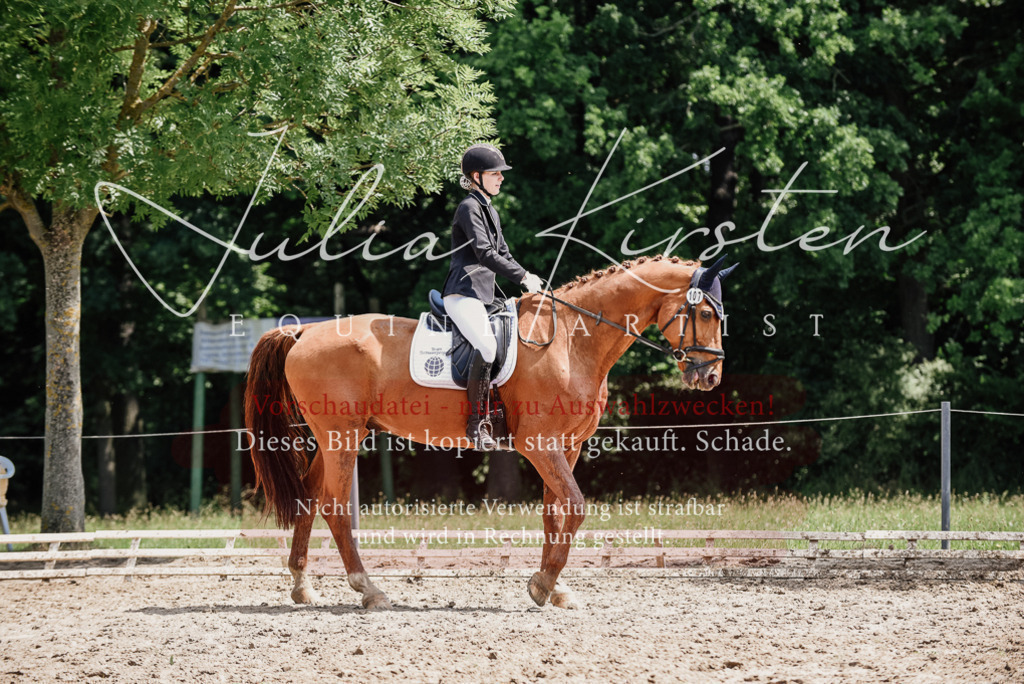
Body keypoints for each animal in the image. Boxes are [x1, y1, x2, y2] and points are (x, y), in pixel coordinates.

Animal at [244, 254, 737, 609]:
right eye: (705, 313)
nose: (711, 376)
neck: (573, 340)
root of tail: (303, 334)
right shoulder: (539, 445)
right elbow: (576, 508)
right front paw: (542, 585)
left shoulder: (567, 446)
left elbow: (554, 514)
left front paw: (554, 588)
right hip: (341, 436)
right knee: (333, 506)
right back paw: (370, 590)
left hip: (334, 438)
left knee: (309, 498)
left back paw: (303, 587)